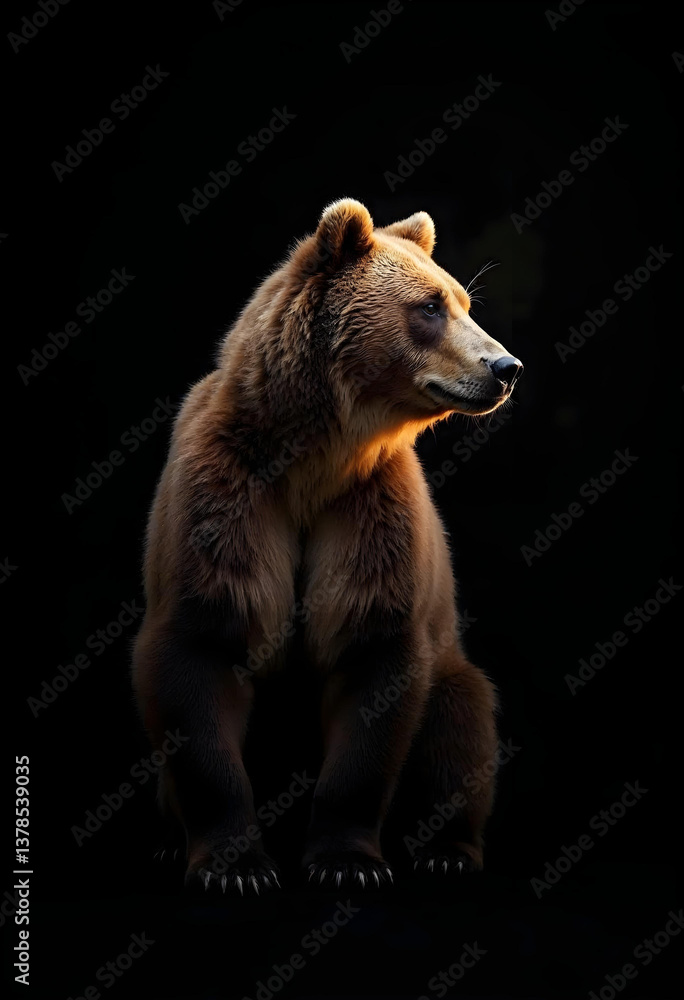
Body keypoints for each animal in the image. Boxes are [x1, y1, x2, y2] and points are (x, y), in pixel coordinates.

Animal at [131, 199, 523, 895]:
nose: (505, 368)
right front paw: (235, 868)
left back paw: (448, 848)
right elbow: (200, 652)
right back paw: (165, 842)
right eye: (430, 307)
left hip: (454, 671)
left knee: (462, 721)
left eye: (462, 301)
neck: (318, 459)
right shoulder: (227, 496)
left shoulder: (370, 512)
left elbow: (373, 658)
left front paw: (348, 861)